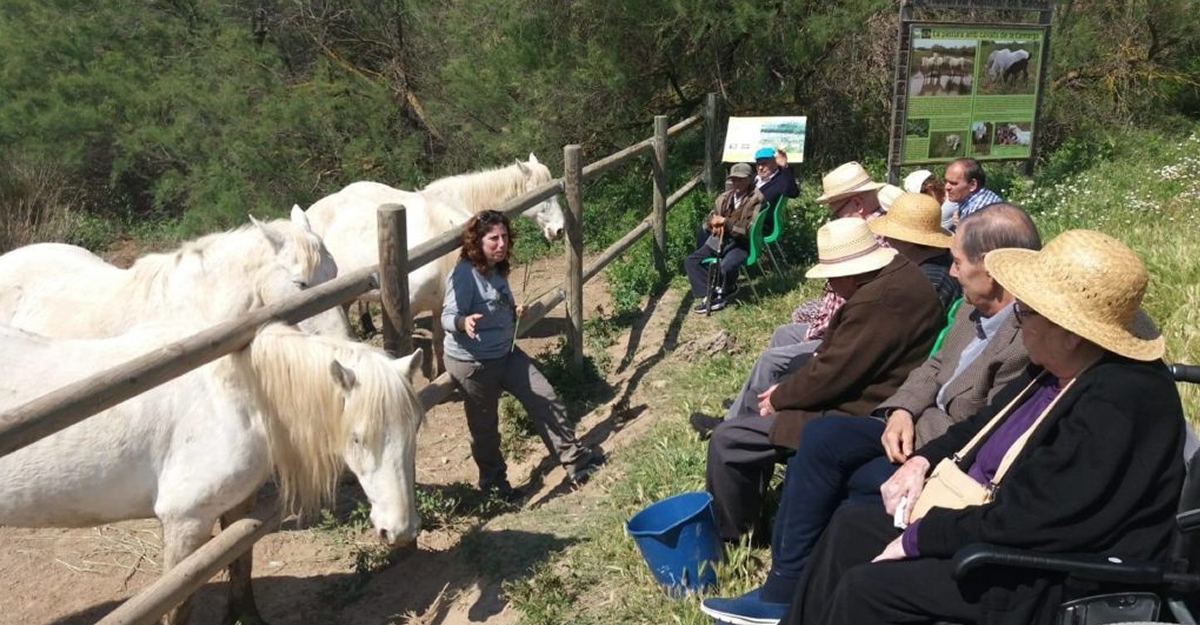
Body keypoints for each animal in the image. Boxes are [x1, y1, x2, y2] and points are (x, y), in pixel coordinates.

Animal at [0, 321, 427, 623]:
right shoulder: (184, 521)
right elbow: (179, 602)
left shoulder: (239, 505)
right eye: (357, 437)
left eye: (415, 427)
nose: (400, 530)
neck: (238, 398)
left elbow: (241, 563)